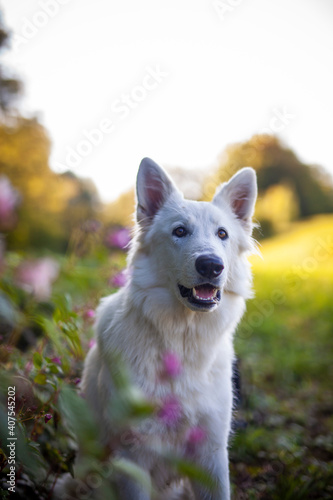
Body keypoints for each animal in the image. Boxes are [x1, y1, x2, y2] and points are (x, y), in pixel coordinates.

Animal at [80, 158, 256, 498]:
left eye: (222, 234)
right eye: (180, 231)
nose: (211, 266)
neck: (181, 341)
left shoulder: (211, 454)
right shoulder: (131, 457)